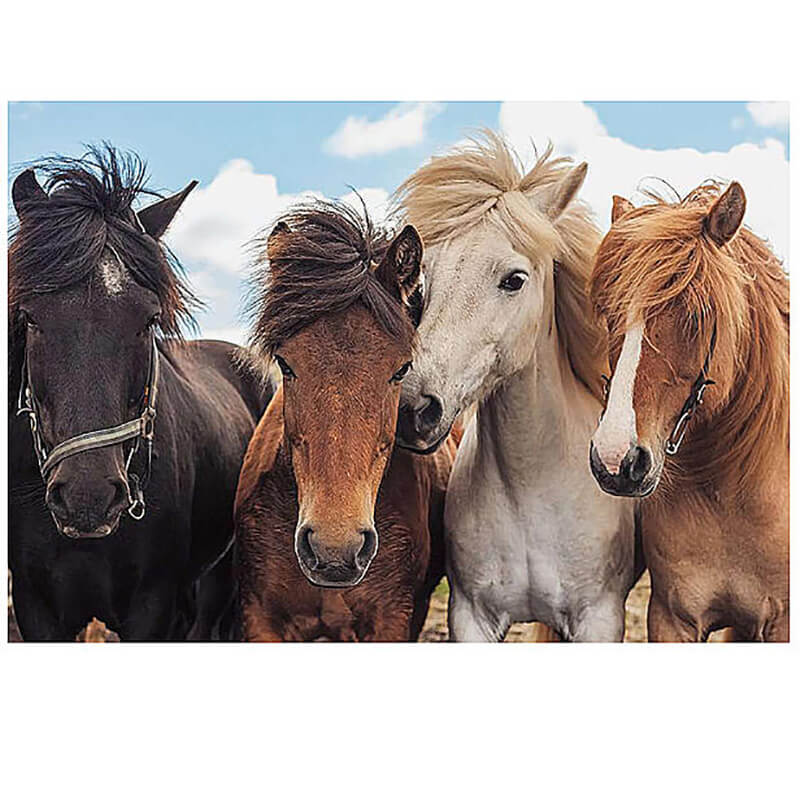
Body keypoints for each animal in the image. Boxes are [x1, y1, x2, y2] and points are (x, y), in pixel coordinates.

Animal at [393, 132, 638, 642]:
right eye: (424, 282)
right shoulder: (470, 616)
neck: (531, 489)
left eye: (514, 279)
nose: (413, 410)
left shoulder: (599, 619)